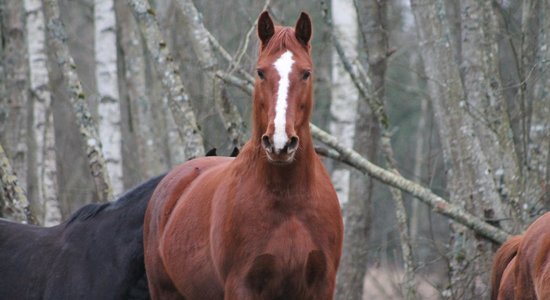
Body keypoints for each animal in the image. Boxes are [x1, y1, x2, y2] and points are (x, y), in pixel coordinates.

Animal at [147, 10, 344, 300]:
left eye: (306, 73)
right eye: (260, 72)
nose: (280, 144)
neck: (289, 198)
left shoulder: (322, 285)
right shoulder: (242, 286)